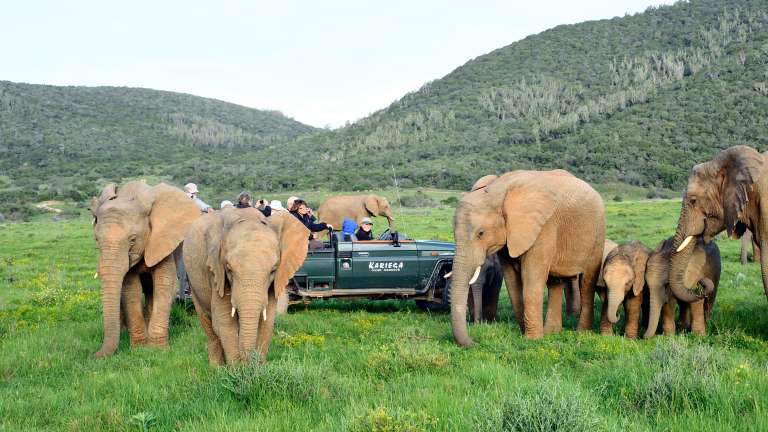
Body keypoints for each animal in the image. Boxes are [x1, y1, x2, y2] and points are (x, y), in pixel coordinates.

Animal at [89, 181, 201, 357]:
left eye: (133, 239)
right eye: (96, 239)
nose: (92, 355)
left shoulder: (162, 241)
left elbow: (164, 284)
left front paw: (157, 350)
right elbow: (131, 289)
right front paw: (139, 348)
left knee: (152, 291)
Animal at [183, 208, 309, 365]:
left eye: (273, 270)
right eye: (229, 269)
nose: (249, 360)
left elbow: (267, 322)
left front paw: (256, 368)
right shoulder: (216, 272)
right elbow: (225, 320)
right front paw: (237, 368)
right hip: (192, 280)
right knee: (208, 323)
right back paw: (216, 367)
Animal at [451, 169, 606, 345]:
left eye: (481, 233)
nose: (475, 342)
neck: (498, 190)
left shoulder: (543, 227)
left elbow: (532, 277)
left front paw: (532, 340)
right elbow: (511, 280)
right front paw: (525, 333)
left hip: (597, 232)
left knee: (587, 281)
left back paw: (581, 333)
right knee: (555, 282)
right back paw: (551, 332)